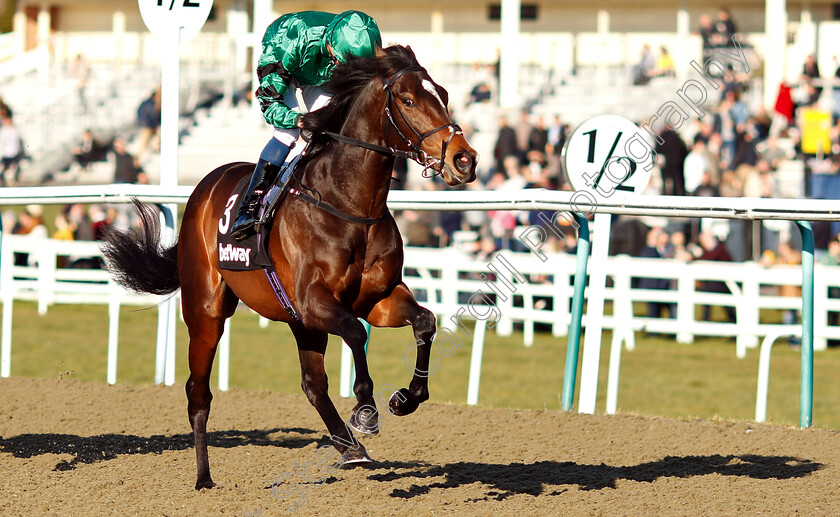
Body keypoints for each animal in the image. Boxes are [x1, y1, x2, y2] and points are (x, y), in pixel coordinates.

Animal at [101, 44, 476, 488]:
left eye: (444, 94)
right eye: (407, 100)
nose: (465, 159)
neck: (349, 205)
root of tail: (205, 187)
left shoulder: (377, 299)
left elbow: (424, 321)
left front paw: (406, 398)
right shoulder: (314, 301)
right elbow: (355, 331)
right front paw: (366, 409)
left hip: (299, 322)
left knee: (313, 384)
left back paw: (351, 450)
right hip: (207, 310)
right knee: (198, 391)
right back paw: (205, 478)